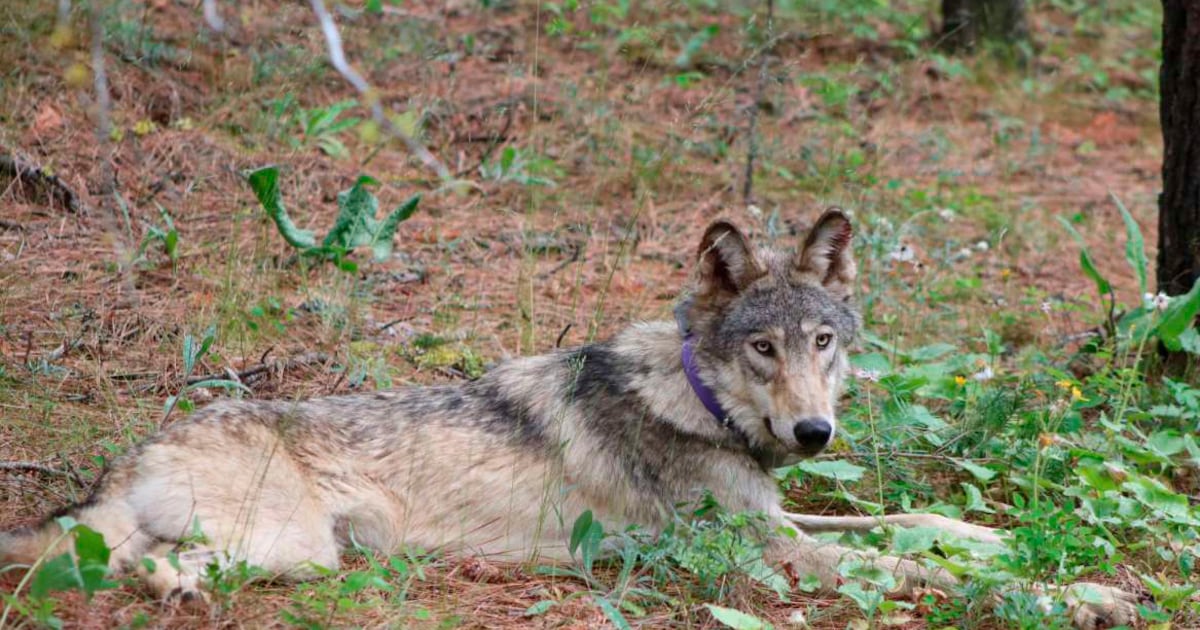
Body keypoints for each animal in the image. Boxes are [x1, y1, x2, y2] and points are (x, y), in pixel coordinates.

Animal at [1, 211, 1137, 627]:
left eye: (824, 341)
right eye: (762, 349)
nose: (814, 436)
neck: (697, 400)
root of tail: (137, 448)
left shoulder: (776, 521)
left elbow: (916, 525)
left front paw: (999, 541)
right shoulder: (765, 556)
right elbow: (908, 567)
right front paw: (1078, 592)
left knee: (115, 556)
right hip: (293, 549)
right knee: (131, 565)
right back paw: (169, 593)